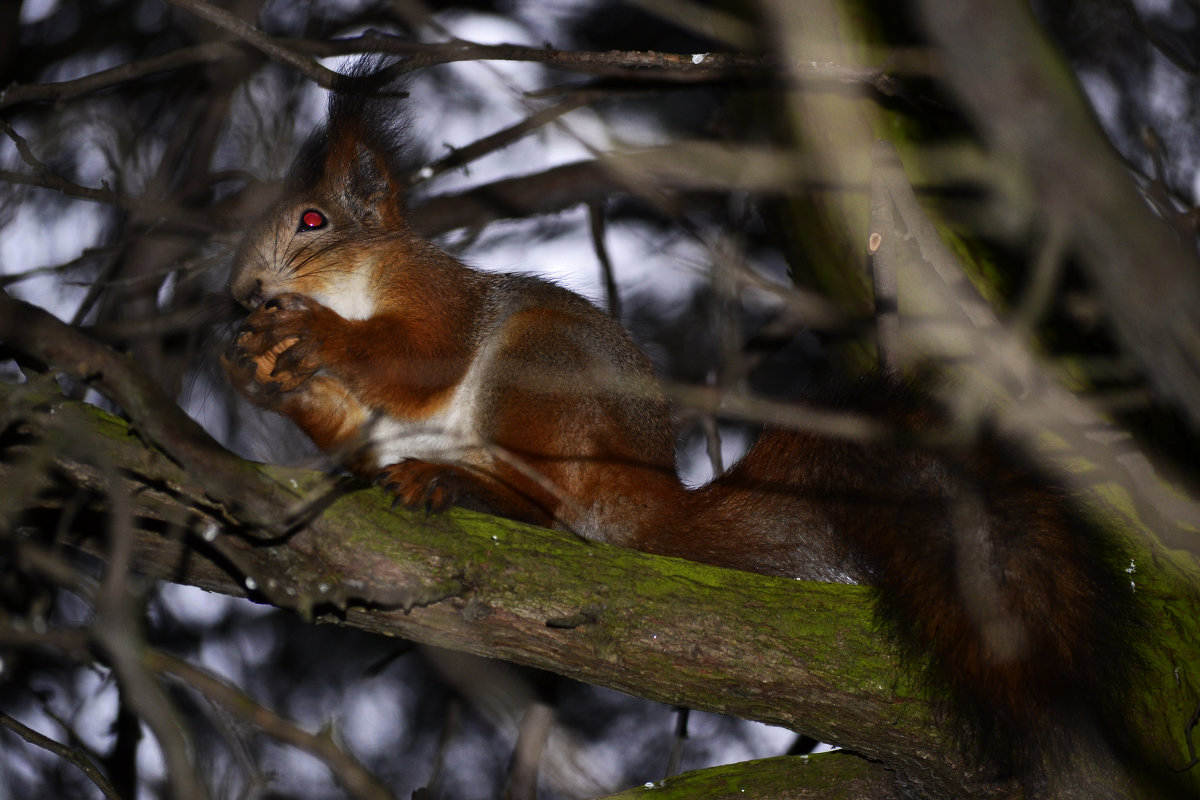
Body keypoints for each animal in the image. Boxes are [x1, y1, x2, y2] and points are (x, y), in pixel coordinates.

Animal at [223, 73, 1132, 777]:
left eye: (312, 222)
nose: (240, 294)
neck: (359, 281)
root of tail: (651, 497)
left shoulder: (435, 297)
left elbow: (421, 359)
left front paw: (311, 335)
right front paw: (258, 372)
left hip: (538, 375)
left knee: (556, 514)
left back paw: (461, 484)